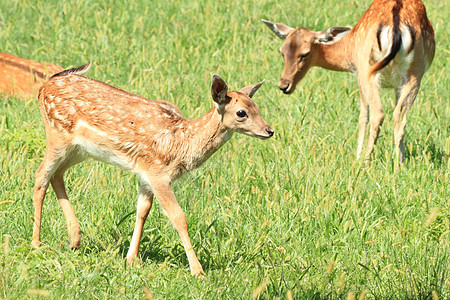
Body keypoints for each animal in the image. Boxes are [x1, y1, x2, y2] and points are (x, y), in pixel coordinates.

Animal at [31, 63, 272, 276]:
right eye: (241, 112)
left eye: (258, 108)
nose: (269, 131)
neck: (182, 143)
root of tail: (45, 86)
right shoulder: (158, 174)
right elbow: (178, 216)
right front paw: (198, 271)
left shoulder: (145, 173)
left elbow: (143, 210)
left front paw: (131, 258)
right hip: (57, 134)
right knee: (41, 175)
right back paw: (36, 243)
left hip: (80, 149)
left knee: (57, 175)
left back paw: (74, 238)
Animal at [262, 0, 434, 165]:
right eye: (282, 52)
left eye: (305, 54)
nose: (284, 85)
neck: (349, 51)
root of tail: (397, 27)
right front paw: (401, 158)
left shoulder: (359, 73)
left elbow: (363, 116)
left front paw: (357, 157)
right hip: (415, 74)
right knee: (400, 117)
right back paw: (398, 166)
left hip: (368, 70)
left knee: (378, 114)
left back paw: (364, 163)